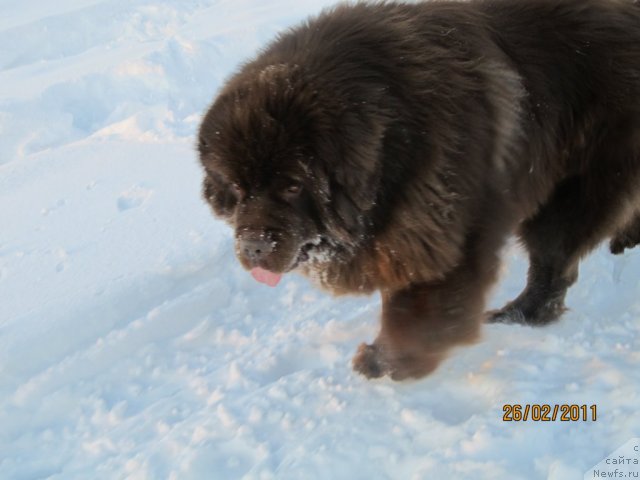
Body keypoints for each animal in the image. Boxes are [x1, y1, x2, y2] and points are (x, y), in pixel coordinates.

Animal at [199, 0, 640, 382]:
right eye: (236, 187)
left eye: (292, 186)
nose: (254, 246)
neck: (395, 145)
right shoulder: (403, 232)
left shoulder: (448, 234)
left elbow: (419, 307)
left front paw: (390, 361)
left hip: (576, 184)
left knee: (553, 259)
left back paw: (522, 315)